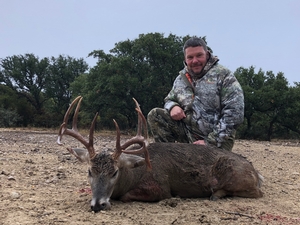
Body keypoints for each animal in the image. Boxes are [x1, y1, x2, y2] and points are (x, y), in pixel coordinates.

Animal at [56, 96, 262, 212]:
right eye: (89, 171)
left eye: (114, 172)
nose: (98, 205)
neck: (134, 174)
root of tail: (256, 173)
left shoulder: (160, 188)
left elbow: (126, 196)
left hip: (233, 174)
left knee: (254, 193)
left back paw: (215, 194)